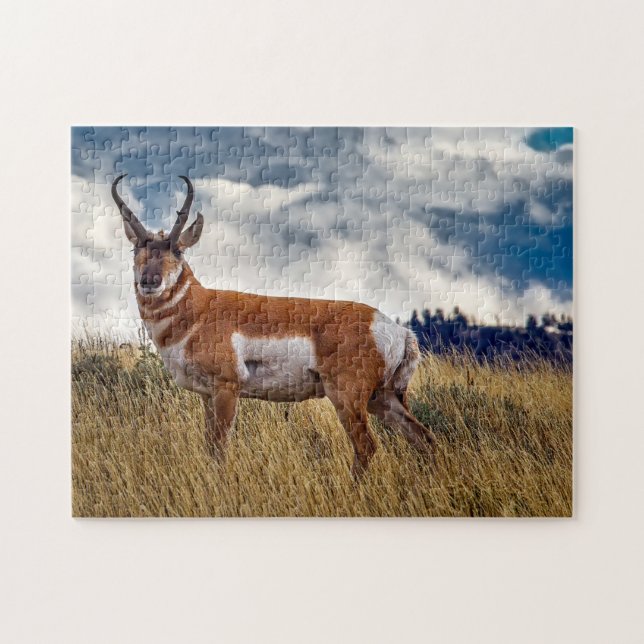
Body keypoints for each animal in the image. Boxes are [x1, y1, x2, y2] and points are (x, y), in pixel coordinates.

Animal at [111, 173, 436, 478]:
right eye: (135, 250)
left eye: (178, 250)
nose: (149, 281)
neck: (200, 309)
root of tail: (397, 330)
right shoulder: (206, 395)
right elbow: (209, 446)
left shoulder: (227, 388)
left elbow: (219, 448)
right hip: (383, 399)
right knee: (423, 438)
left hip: (348, 397)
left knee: (367, 446)